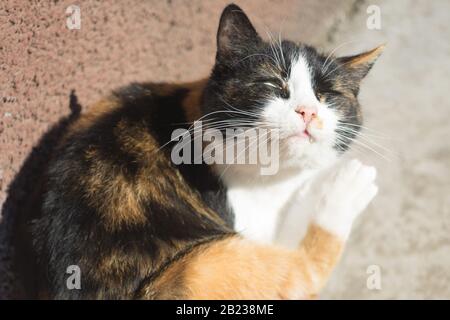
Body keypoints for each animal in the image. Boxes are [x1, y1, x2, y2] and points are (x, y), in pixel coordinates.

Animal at [32, 4, 384, 300]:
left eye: (327, 95)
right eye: (272, 85)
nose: (308, 111)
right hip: (200, 268)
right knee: (303, 267)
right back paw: (344, 191)